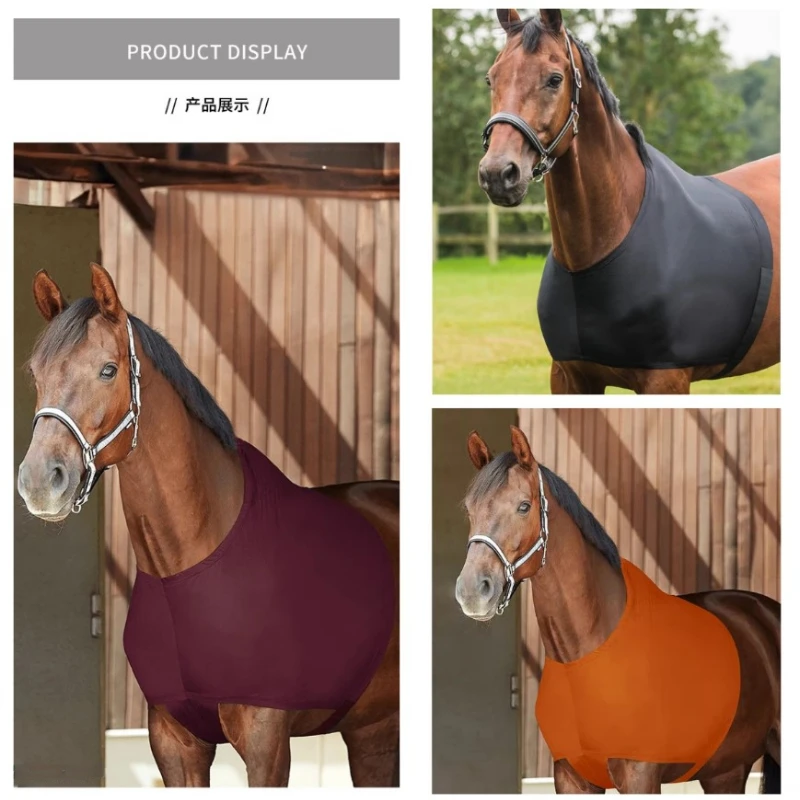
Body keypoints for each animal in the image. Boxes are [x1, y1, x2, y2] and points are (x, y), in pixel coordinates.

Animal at [17, 264, 399, 787]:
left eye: (108, 370)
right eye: (36, 373)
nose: (40, 481)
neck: (188, 566)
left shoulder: (266, 744)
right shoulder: (174, 743)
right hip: (372, 736)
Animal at [455, 425, 780, 794]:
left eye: (524, 507)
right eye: (470, 510)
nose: (472, 590)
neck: (587, 656)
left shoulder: (640, 776)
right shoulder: (571, 777)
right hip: (725, 772)